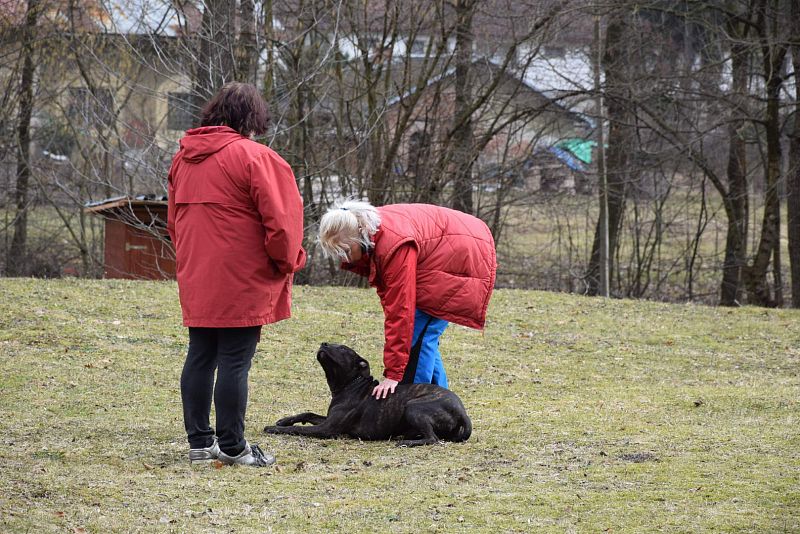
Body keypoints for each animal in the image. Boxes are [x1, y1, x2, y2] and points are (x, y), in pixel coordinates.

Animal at [266, 344, 472, 448]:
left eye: (343, 349)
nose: (323, 343)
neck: (351, 384)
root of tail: (462, 412)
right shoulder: (327, 419)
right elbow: (307, 414)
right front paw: (284, 420)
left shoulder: (327, 429)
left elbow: (299, 430)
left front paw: (275, 429)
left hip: (414, 407)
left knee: (433, 439)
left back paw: (407, 442)